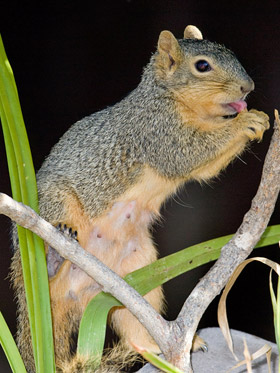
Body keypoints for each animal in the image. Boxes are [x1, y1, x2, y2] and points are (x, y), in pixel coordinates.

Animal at [10, 24, 270, 370]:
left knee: (136, 329)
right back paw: (53, 254)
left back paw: (161, 346)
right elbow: (188, 153)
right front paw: (248, 121)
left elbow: (203, 168)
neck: (168, 96)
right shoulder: (156, 130)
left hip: (137, 276)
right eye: (202, 66)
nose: (247, 87)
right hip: (54, 203)